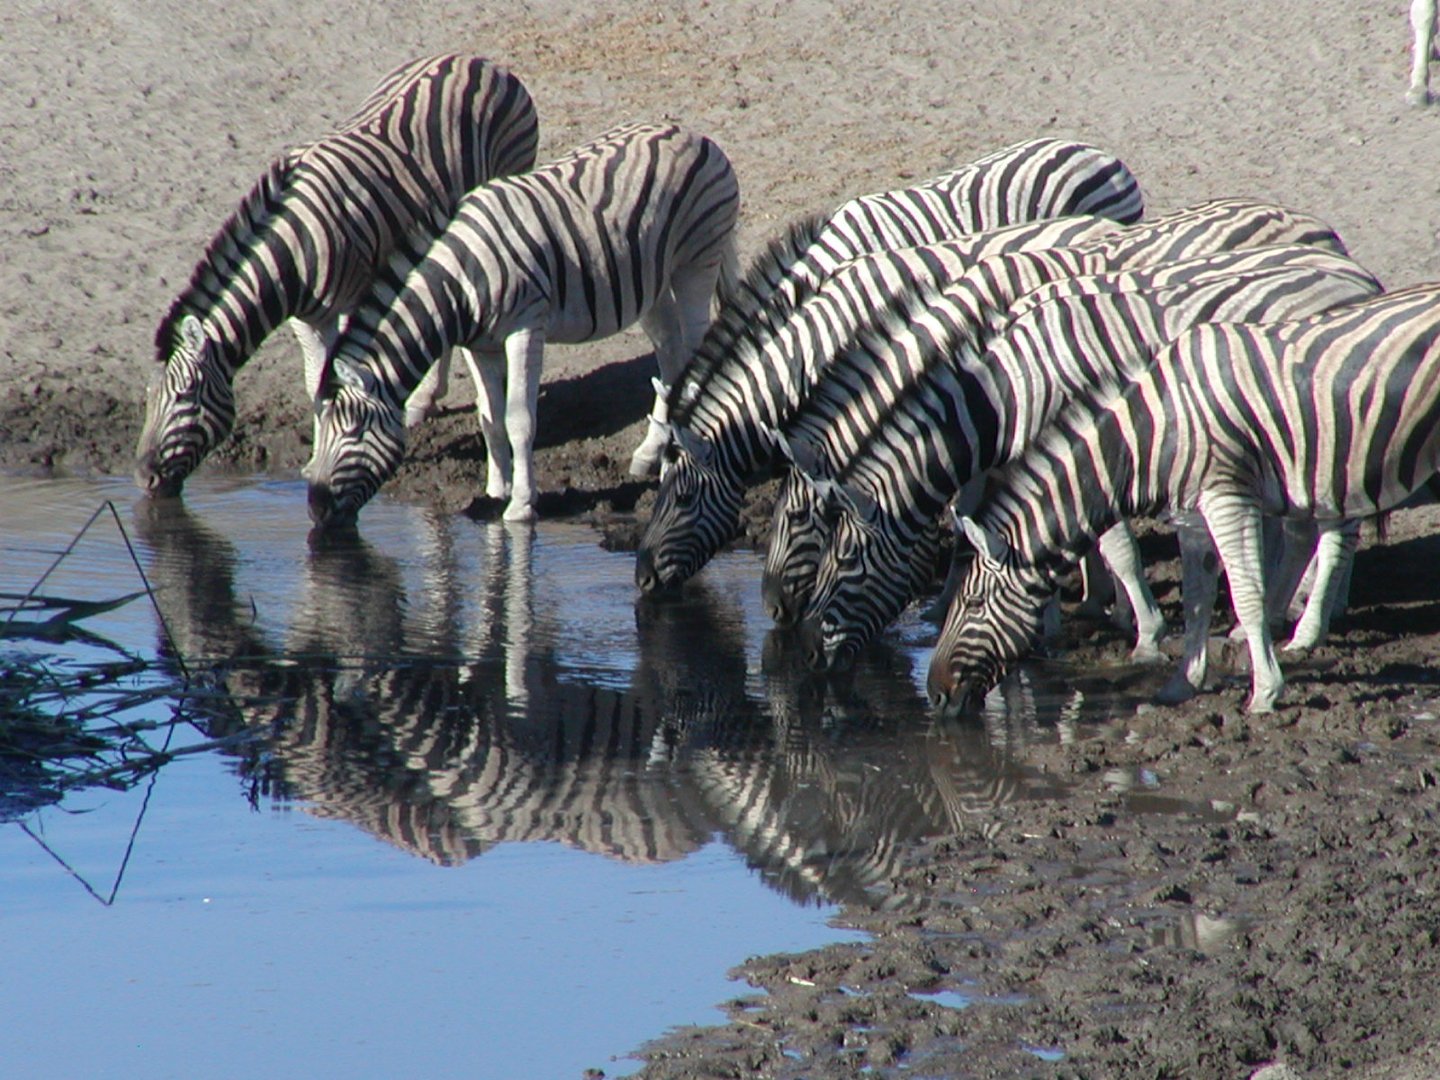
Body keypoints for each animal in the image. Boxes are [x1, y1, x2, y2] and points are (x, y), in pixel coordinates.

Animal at [133, 55, 541, 498]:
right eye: (148, 396)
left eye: (186, 397)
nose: (142, 479)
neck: (292, 247)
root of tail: (475, 60)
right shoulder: (307, 318)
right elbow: (320, 380)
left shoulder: (337, 307)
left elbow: (327, 380)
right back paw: (423, 401)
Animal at [305, 121, 743, 529]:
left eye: (352, 434)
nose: (316, 510)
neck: (459, 280)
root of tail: (691, 134)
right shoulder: (480, 344)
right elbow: (490, 419)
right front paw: (496, 489)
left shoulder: (525, 326)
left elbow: (519, 418)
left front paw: (520, 505)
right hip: (649, 284)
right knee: (669, 354)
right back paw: (652, 453)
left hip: (696, 263)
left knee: (693, 351)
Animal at [789, 243, 1382, 676]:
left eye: (846, 560)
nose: (807, 651)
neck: (1003, 394)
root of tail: (1357, 274)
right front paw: (1046, 623)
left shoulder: (1096, 450)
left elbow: (1112, 546)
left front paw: (1145, 635)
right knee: (1305, 528)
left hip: (1323, 430)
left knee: (1335, 529)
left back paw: (1309, 627)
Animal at [927, 283, 1440, 714]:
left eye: (973, 604)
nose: (935, 694)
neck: (1152, 432)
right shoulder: (1191, 512)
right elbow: (1196, 596)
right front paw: (1182, 683)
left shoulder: (1226, 496)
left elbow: (1245, 592)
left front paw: (1264, 693)